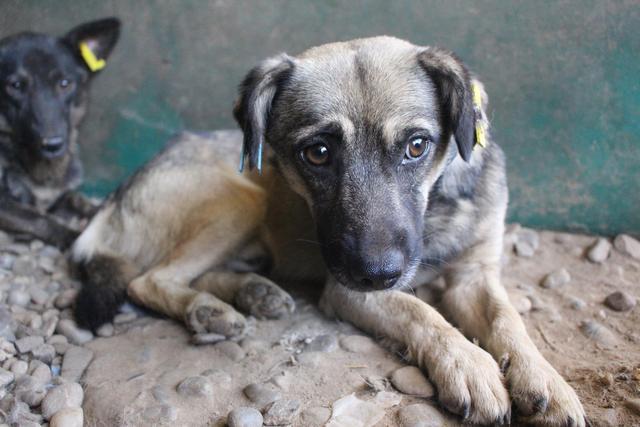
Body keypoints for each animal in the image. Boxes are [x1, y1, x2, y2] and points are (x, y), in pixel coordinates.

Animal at [0, 19, 120, 247]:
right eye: (16, 85)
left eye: (65, 83)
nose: (53, 144)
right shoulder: (8, 207)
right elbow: (39, 218)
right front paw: (74, 237)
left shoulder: (60, 196)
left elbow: (77, 198)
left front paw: (101, 210)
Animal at [70, 37, 584, 427]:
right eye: (317, 153)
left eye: (417, 146)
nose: (376, 273)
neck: (437, 209)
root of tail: (114, 197)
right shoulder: (348, 290)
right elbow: (422, 313)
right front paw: (468, 364)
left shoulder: (475, 276)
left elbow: (507, 320)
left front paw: (545, 380)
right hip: (240, 198)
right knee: (149, 280)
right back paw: (207, 310)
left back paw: (251, 294)